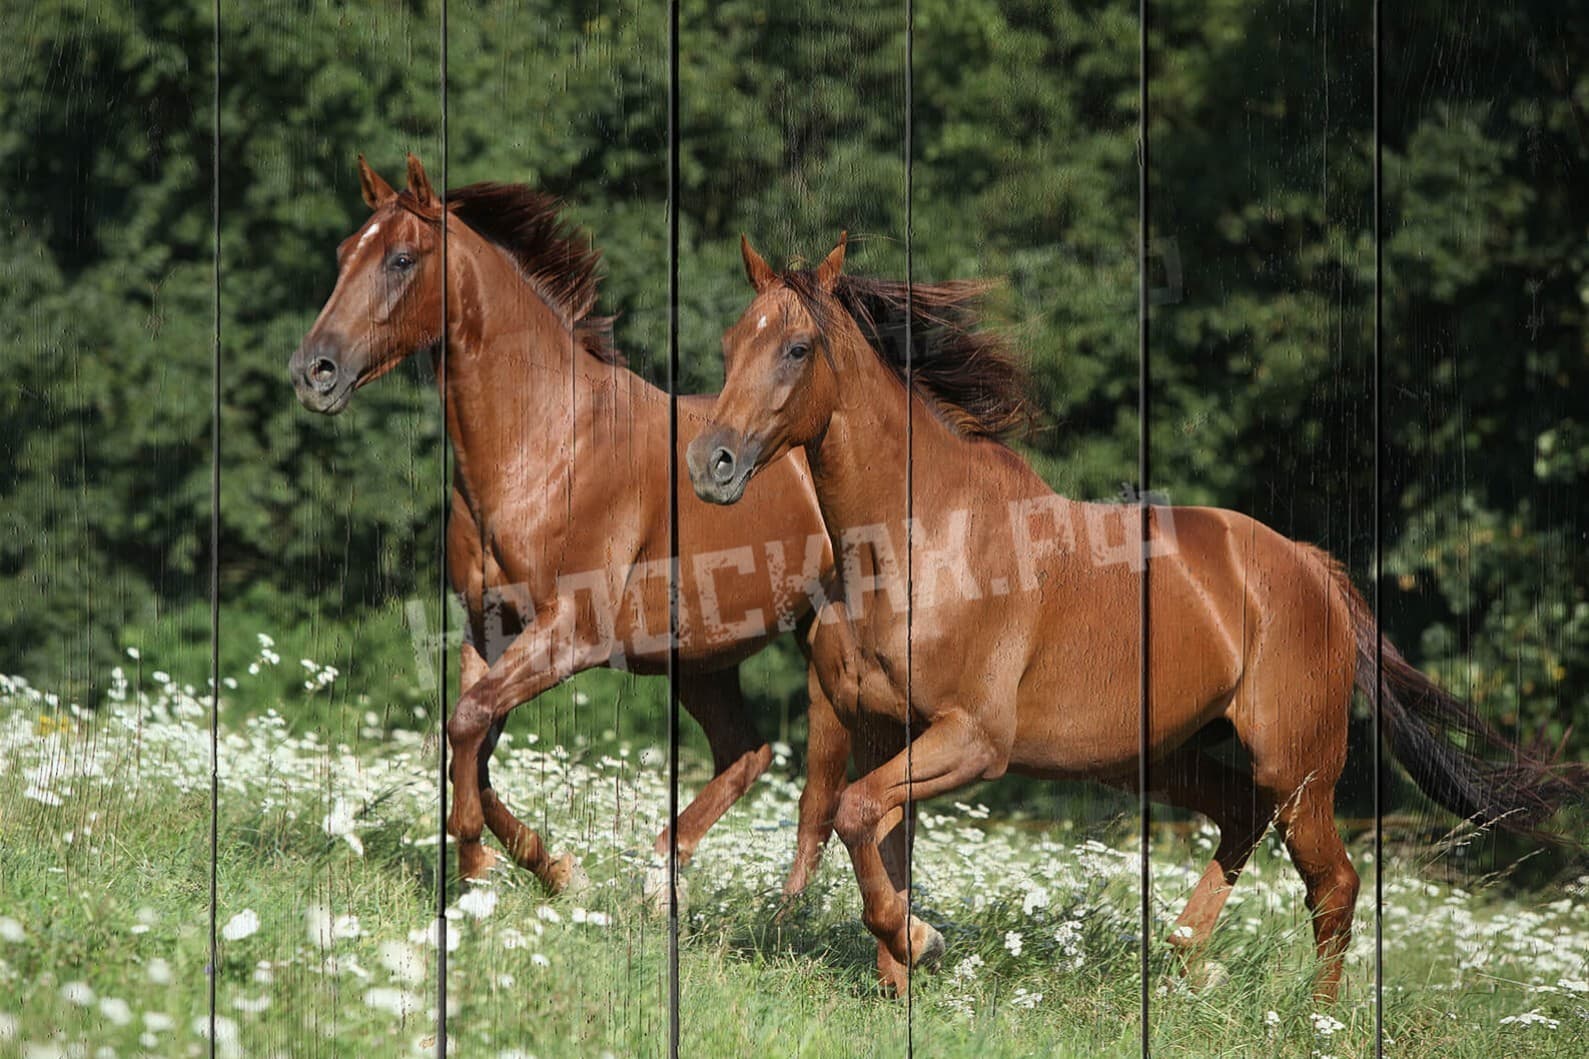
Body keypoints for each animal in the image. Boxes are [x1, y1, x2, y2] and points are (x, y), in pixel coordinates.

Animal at [288, 155, 850, 896]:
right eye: (343, 251)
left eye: (402, 258)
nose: (313, 372)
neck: (547, 445)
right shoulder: (489, 625)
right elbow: (469, 741)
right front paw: (545, 867)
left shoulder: (570, 632)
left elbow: (467, 723)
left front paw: (484, 861)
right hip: (704, 656)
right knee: (748, 751)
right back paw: (658, 881)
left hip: (828, 643)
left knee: (823, 789)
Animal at [685, 232, 1582, 999]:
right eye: (729, 344)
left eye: (796, 348)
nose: (710, 463)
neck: (917, 540)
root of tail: (1313, 572)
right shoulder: (881, 732)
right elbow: (872, 834)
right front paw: (903, 970)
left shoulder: (972, 740)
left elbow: (854, 815)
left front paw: (923, 942)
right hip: (1169, 755)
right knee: (1241, 820)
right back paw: (1184, 962)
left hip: (1299, 771)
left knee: (1333, 883)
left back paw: (1315, 1017)